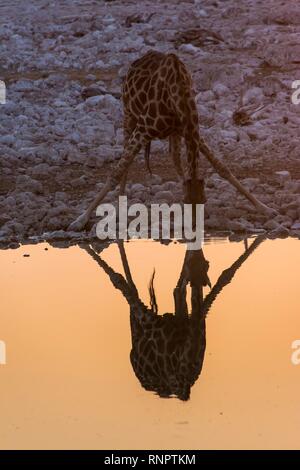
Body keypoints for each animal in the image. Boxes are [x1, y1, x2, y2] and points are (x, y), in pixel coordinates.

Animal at [68, 51, 276, 231]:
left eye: (204, 200)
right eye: (188, 201)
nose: (195, 226)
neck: (178, 92)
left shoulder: (190, 130)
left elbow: (221, 167)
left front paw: (265, 208)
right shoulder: (143, 129)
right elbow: (115, 173)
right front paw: (79, 220)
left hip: (172, 132)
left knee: (174, 157)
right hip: (128, 115)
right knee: (125, 160)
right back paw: (119, 204)